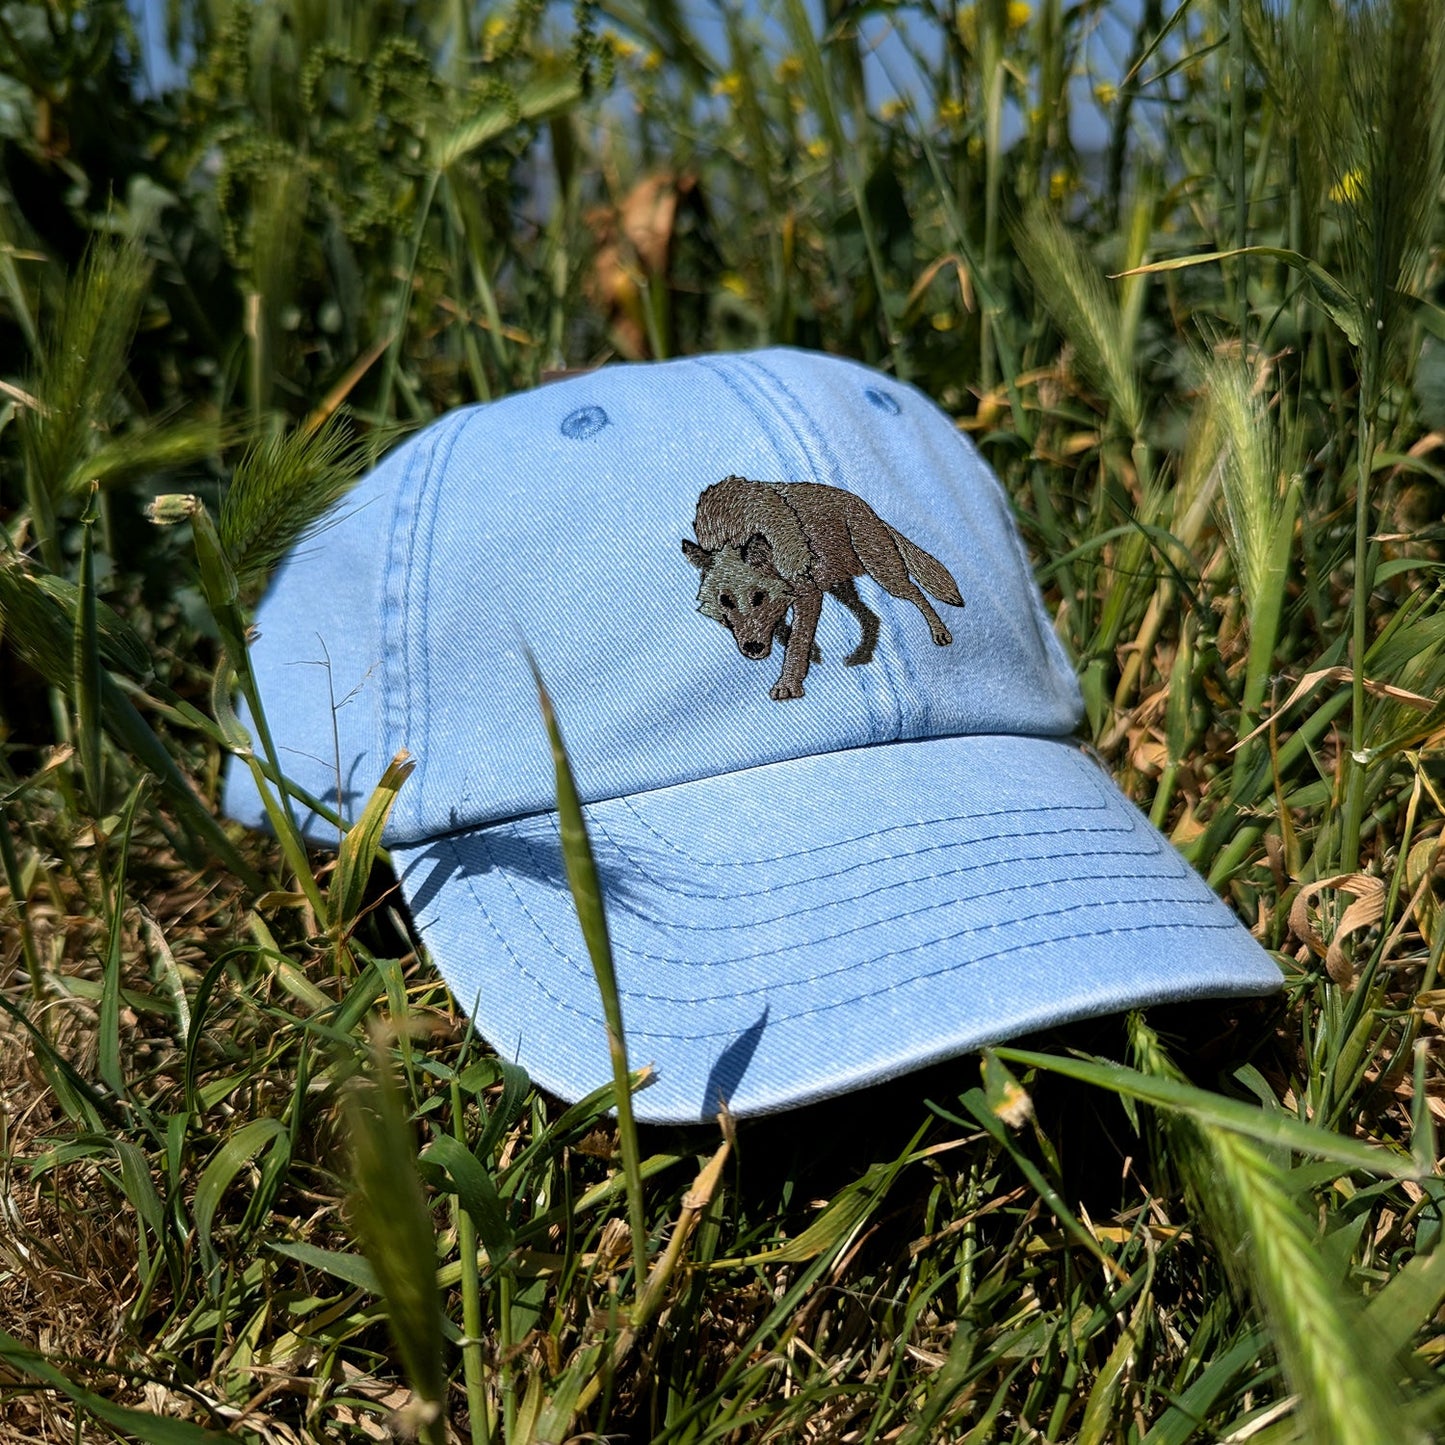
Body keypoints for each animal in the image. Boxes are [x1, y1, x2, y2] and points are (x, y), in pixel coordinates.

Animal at [681, 475, 965, 701]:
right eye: (725, 601)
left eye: (758, 597)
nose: (752, 649)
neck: (732, 527)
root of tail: (869, 510)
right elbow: (785, 630)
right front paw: (811, 654)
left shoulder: (807, 592)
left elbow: (796, 640)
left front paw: (788, 683)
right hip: (839, 585)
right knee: (872, 617)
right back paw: (861, 656)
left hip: (883, 573)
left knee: (916, 593)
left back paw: (940, 633)